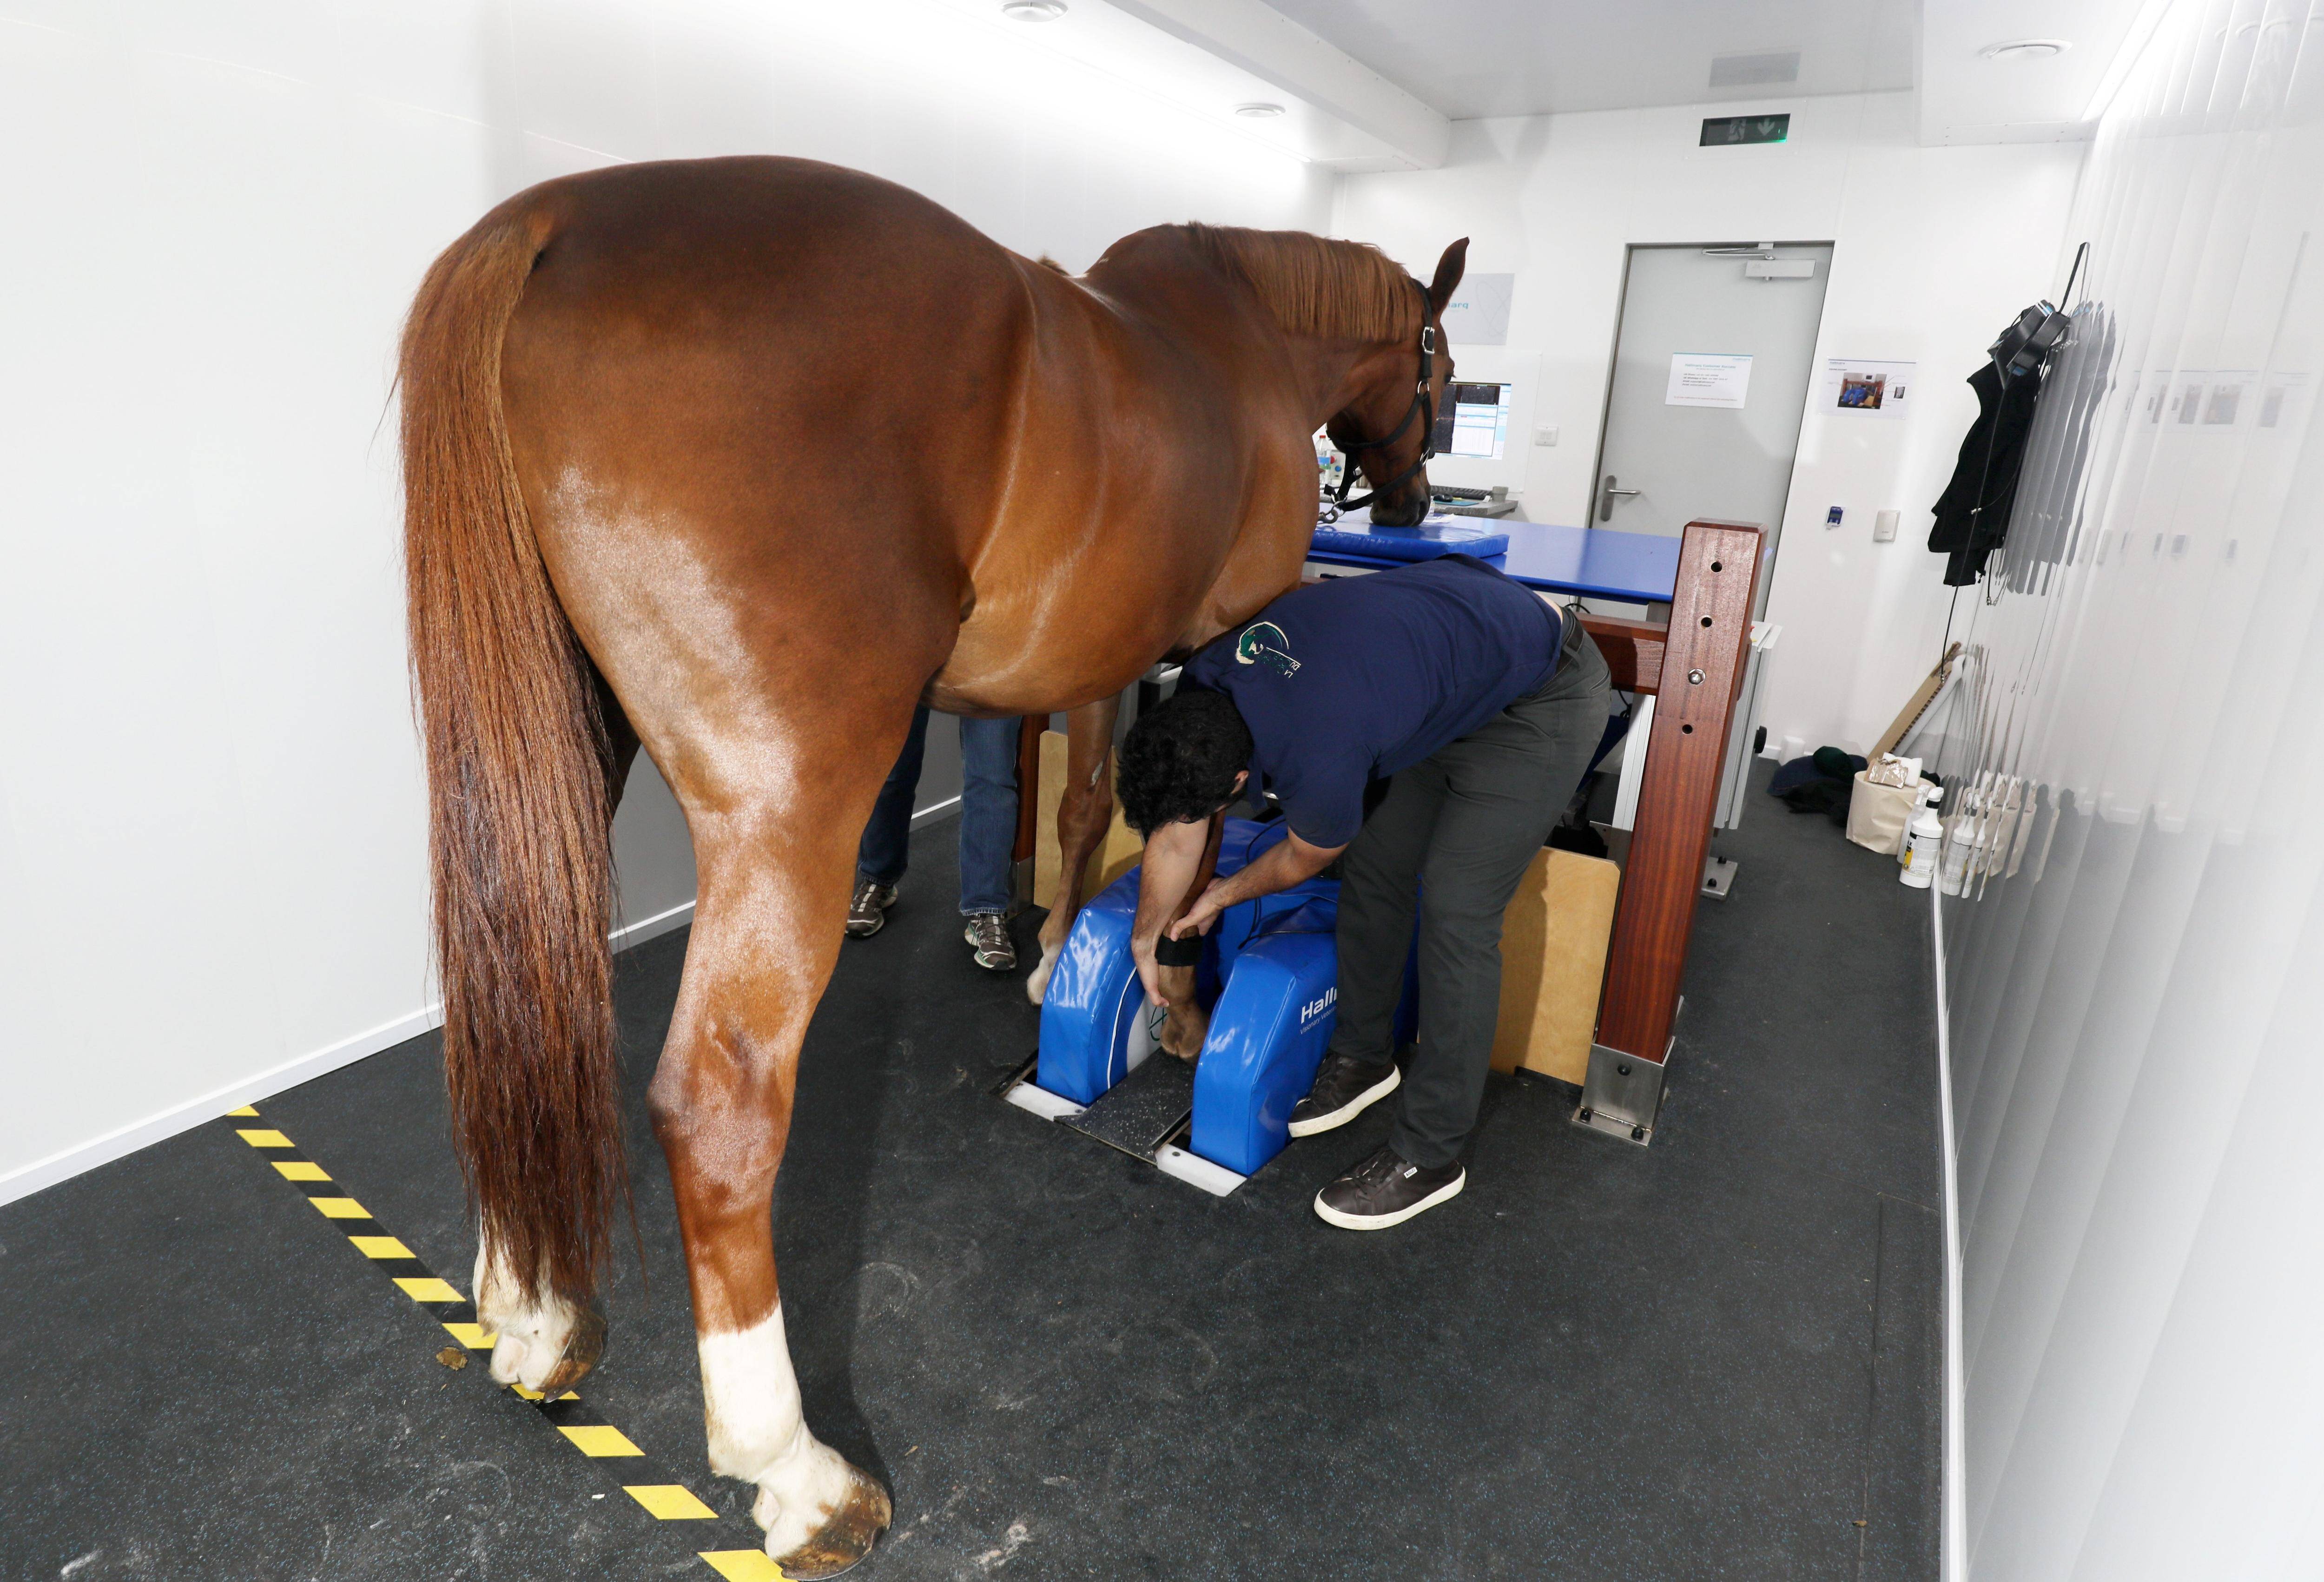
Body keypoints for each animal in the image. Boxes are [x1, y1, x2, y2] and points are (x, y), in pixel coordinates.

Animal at [400, 153, 1463, 1576]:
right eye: (1439, 357)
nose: (1413, 500)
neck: (1239, 345)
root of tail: (547, 225)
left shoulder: (1089, 660)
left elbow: (1084, 808)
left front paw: (1061, 965)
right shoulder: (1215, 645)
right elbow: (1190, 844)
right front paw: (1178, 996)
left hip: (557, 760)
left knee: (512, 1009)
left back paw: (533, 1315)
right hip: (790, 806)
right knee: (721, 1105)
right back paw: (796, 1474)